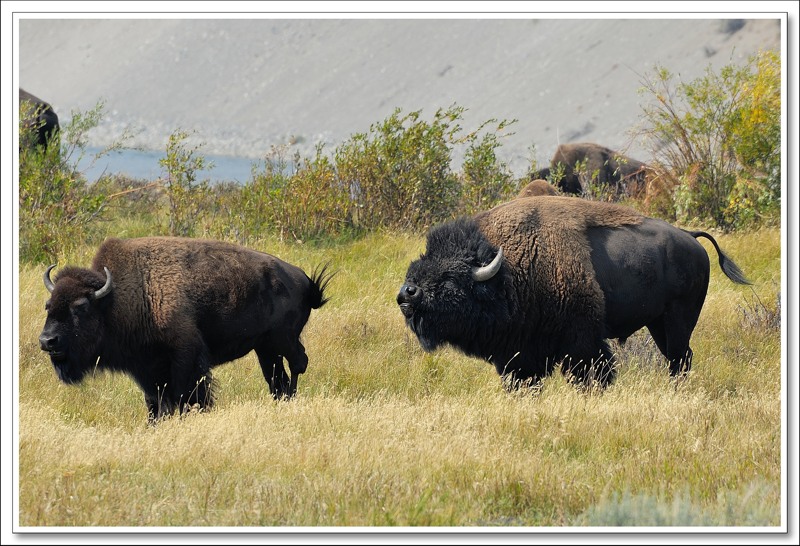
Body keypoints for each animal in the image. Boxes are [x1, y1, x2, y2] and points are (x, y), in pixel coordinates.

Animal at [39, 237, 332, 421]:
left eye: (81, 307)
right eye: (48, 305)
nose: (47, 340)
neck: (124, 296)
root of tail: (303, 279)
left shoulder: (185, 357)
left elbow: (187, 395)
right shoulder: (147, 368)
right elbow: (155, 401)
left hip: (283, 340)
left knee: (298, 364)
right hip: (265, 349)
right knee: (276, 378)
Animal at [397, 196, 749, 390]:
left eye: (449, 278)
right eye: (418, 265)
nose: (406, 295)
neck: (508, 271)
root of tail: (690, 237)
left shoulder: (581, 341)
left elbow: (593, 373)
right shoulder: (519, 354)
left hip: (678, 320)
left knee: (679, 358)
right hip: (658, 324)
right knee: (678, 358)